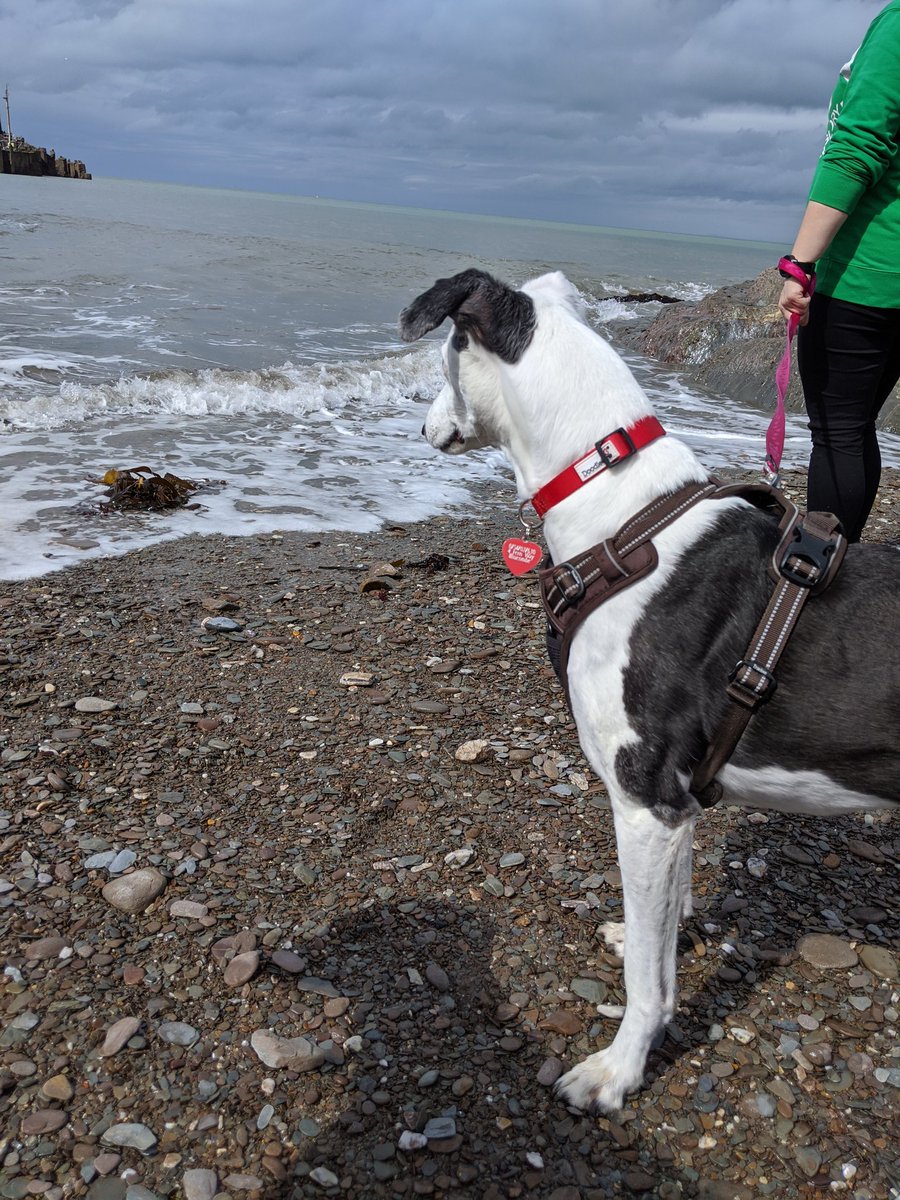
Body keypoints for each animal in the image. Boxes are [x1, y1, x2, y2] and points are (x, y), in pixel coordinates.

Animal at [403, 270, 900, 1113]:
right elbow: (664, 920)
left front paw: (620, 1069)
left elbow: (648, 979)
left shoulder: (643, 799)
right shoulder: (679, 802)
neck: (623, 517)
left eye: (444, 356)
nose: (424, 422)